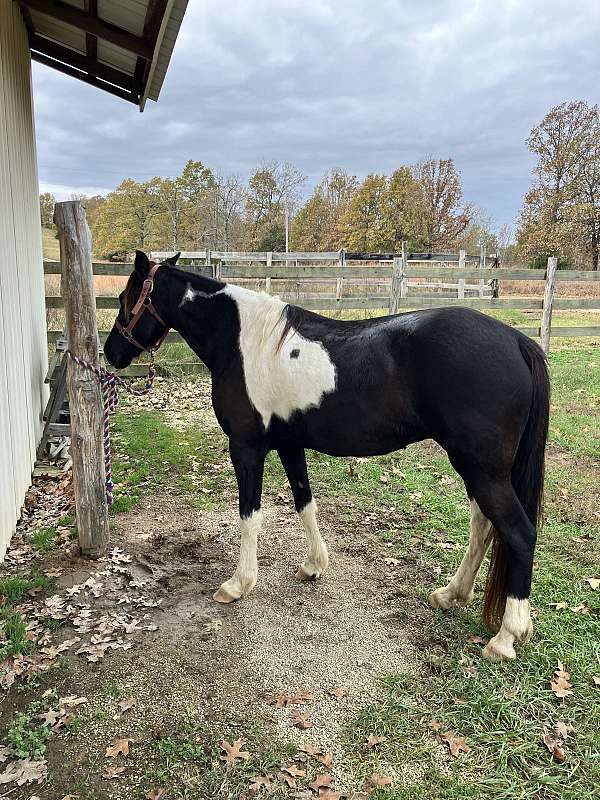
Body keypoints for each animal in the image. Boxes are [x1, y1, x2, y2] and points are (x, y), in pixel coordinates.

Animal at [103, 252, 548, 664]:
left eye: (126, 298)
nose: (111, 353)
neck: (244, 342)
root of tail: (517, 341)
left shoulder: (246, 448)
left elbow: (250, 516)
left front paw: (238, 584)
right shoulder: (289, 444)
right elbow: (305, 503)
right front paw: (314, 565)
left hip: (483, 470)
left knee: (519, 534)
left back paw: (506, 638)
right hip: (477, 469)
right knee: (482, 529)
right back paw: (451, 594)